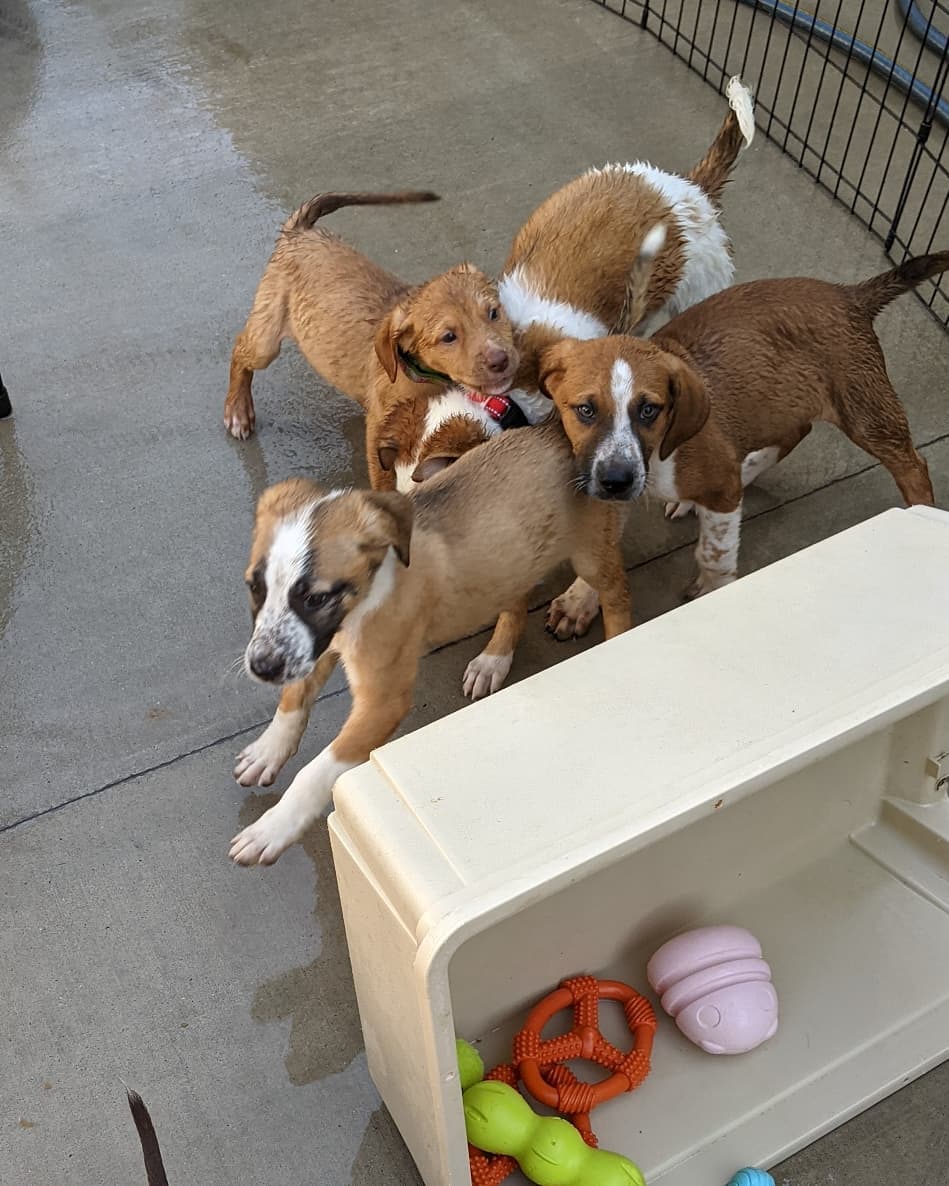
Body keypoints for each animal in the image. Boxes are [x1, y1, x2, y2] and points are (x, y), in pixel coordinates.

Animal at [223, 189, 519, 481]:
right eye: (448, 337)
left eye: (494, 313)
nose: (501, 360)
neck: (426, 377)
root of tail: (300, 232)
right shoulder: (379, 430)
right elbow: (383, 476)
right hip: (266, 339)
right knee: (239, 351)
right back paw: (238, 412)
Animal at [226, 422, 635, 868]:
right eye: (254, 587)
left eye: (316, 598)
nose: (261, 667)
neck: (364, 600)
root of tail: (556, 429)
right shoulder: (313, 647)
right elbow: (292, 701)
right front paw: (268, 752)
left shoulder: (382, 701)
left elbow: (315, 771)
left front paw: (273, 828)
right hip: (511, 558)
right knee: (515, 601)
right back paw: (493, 659)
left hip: (590, 555)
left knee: (616, 596)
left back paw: (618, 641)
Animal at [538, 253, 944, 597]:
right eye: (585, 410)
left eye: (650, 410)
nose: (616, 480)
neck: (657, 456)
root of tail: (851, 296)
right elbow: (602, 546)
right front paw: (578, 601)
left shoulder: (718, 490)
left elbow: (714, 553)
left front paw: (714, 589)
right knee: (795, 433)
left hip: (864, 409)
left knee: (912, 464)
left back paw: (922, 512)